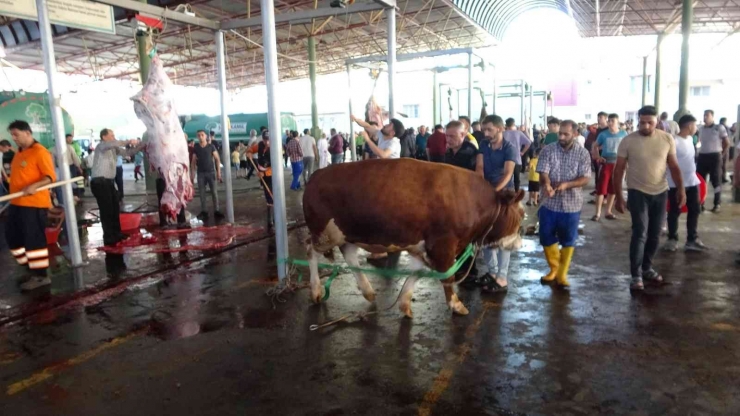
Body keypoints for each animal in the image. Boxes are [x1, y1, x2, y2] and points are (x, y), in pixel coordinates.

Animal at [302, 158, 528, 316]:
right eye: (521, 215)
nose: (520, 243)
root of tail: (316, 174)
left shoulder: (425, 247)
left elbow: (417, 274)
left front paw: (404, 303)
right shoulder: (443, 245)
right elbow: (448, 276)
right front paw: (456, 305)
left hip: (345, 234)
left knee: (349, 255)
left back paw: (368, 291)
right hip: (324, 233)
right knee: (310, 249)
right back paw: (316, 290)